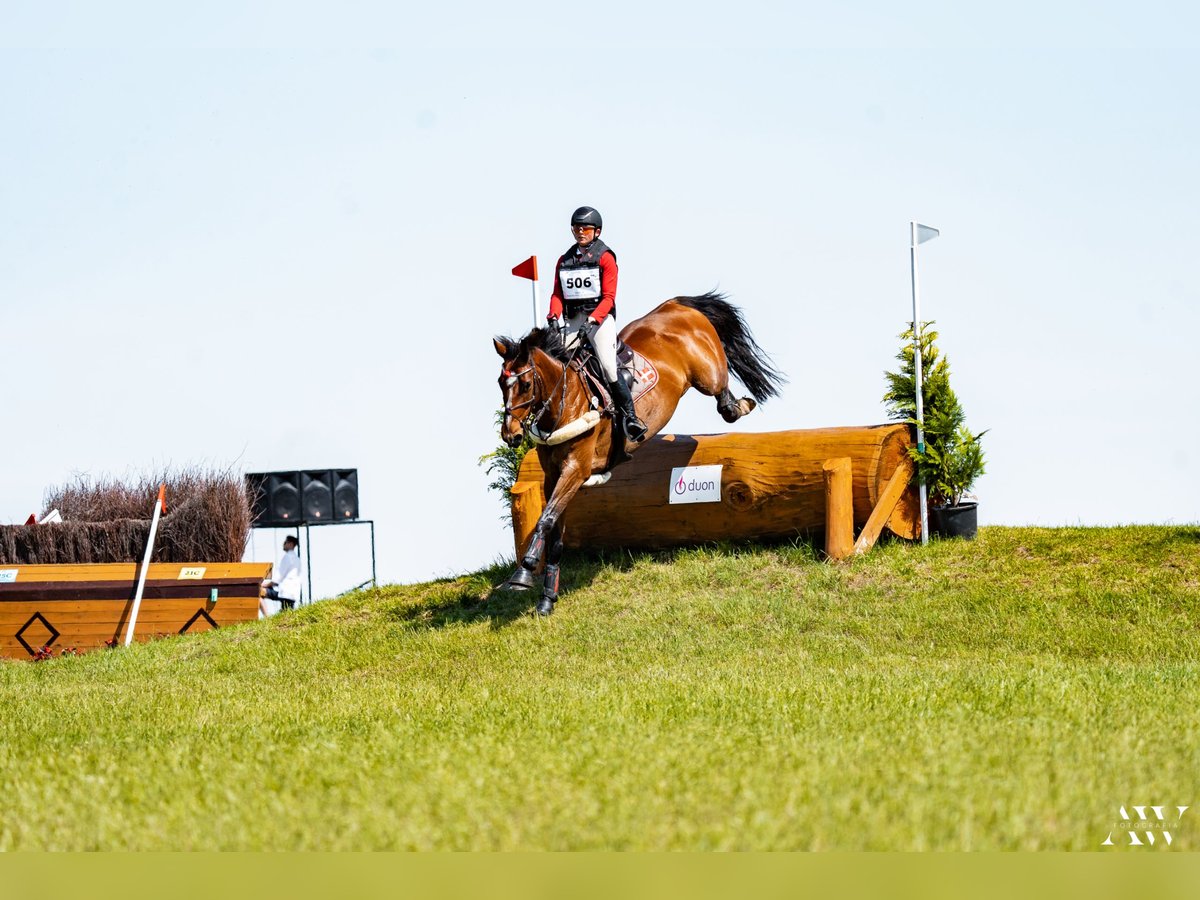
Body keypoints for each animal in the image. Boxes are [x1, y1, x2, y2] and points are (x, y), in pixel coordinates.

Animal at [492, 292, 782, 619]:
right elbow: (554, 529)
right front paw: (546, 598)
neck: (567, 401)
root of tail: (676, 304)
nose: (511, 436)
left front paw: (523, 573)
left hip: (708, 375)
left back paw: (742, 404)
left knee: (724, 401)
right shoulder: (554, 476)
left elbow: (545, 519)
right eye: (500, 383)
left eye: (526, 384)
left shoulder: (576, 470)